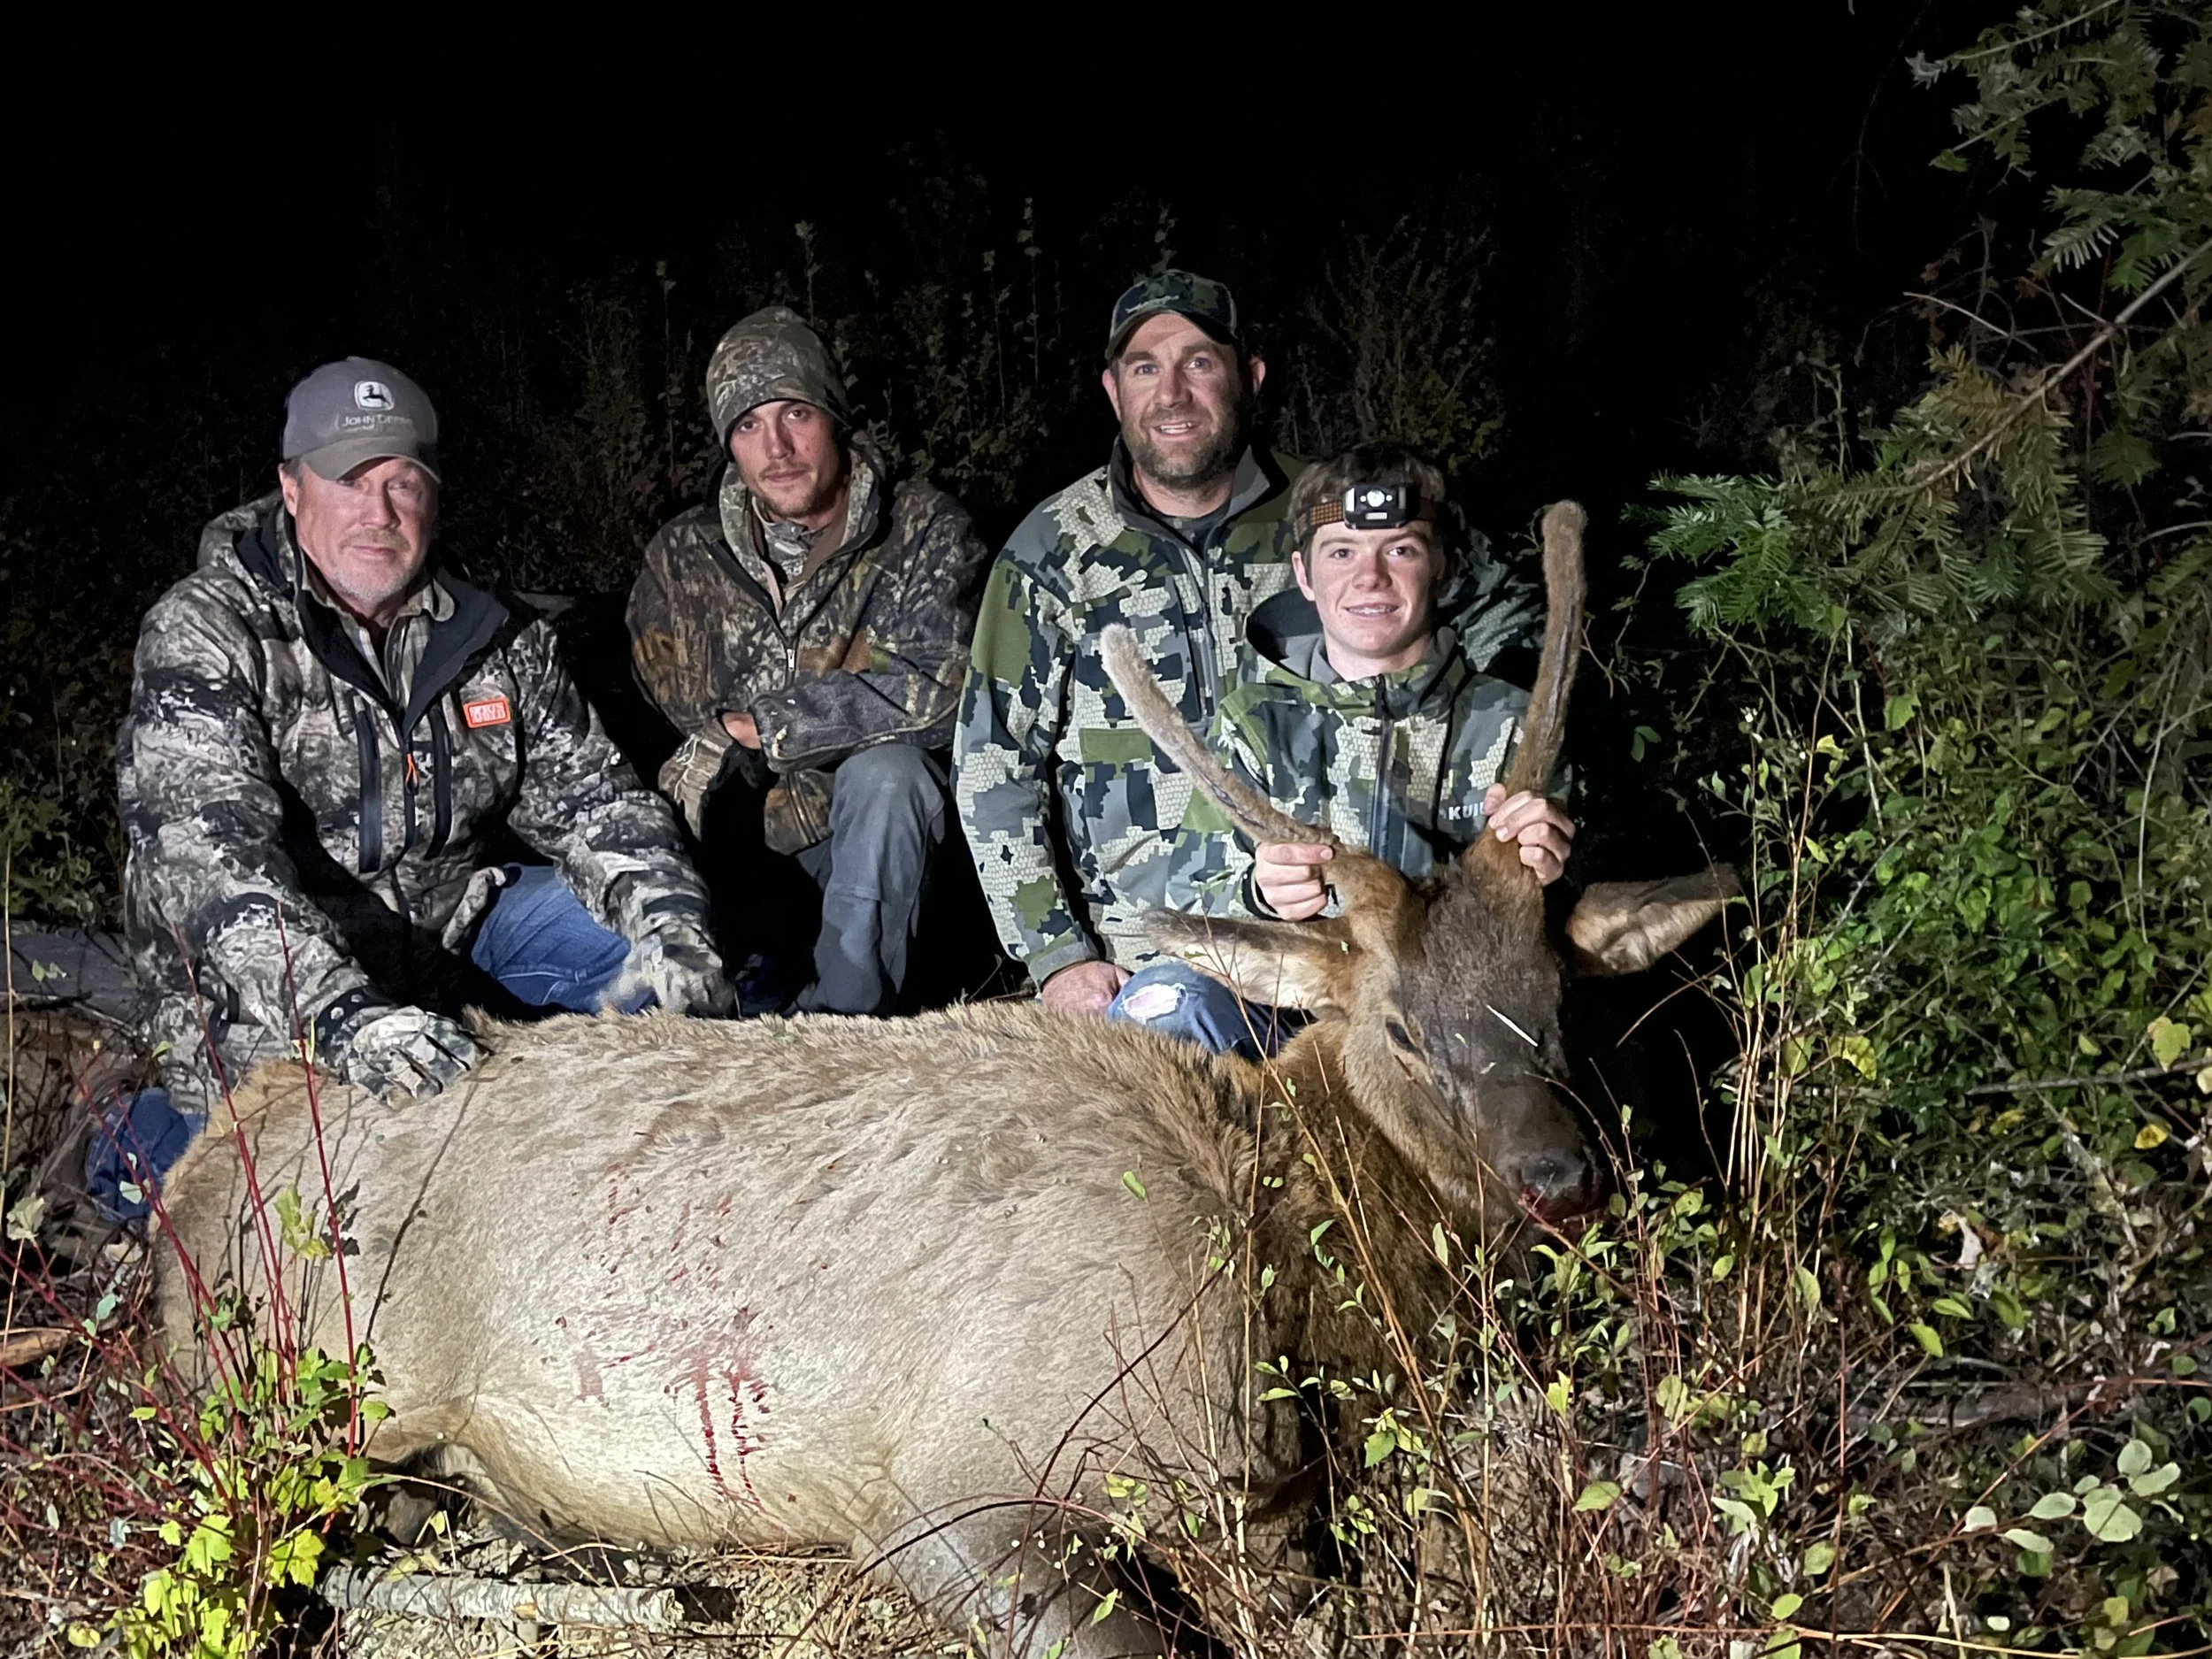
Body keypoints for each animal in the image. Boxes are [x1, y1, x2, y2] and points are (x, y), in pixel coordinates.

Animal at [155, 501, 1737, 1657]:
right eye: (1401, 1024)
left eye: (1560, 998)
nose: (1560, 1173)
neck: (1282, 1283)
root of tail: (193, 1175)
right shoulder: (949, 1475)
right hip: (310, 1383)